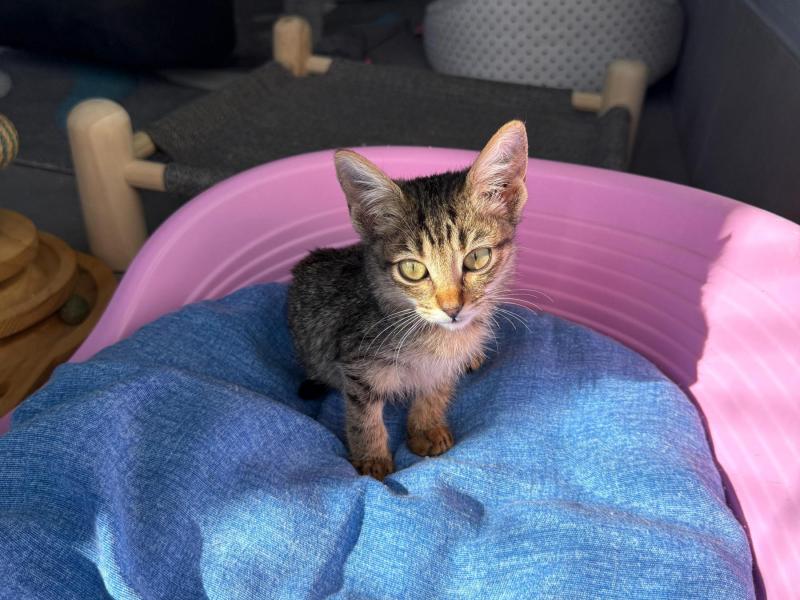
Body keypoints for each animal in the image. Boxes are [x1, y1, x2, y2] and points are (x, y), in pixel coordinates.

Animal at [287, 120, 528, 480]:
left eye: (477, 258)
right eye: (413, 269)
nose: (452, 308)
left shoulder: (444, 365)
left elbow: (436, 390)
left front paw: (426, 428)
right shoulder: (356, 364)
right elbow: (363, 416)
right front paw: (372, 460)